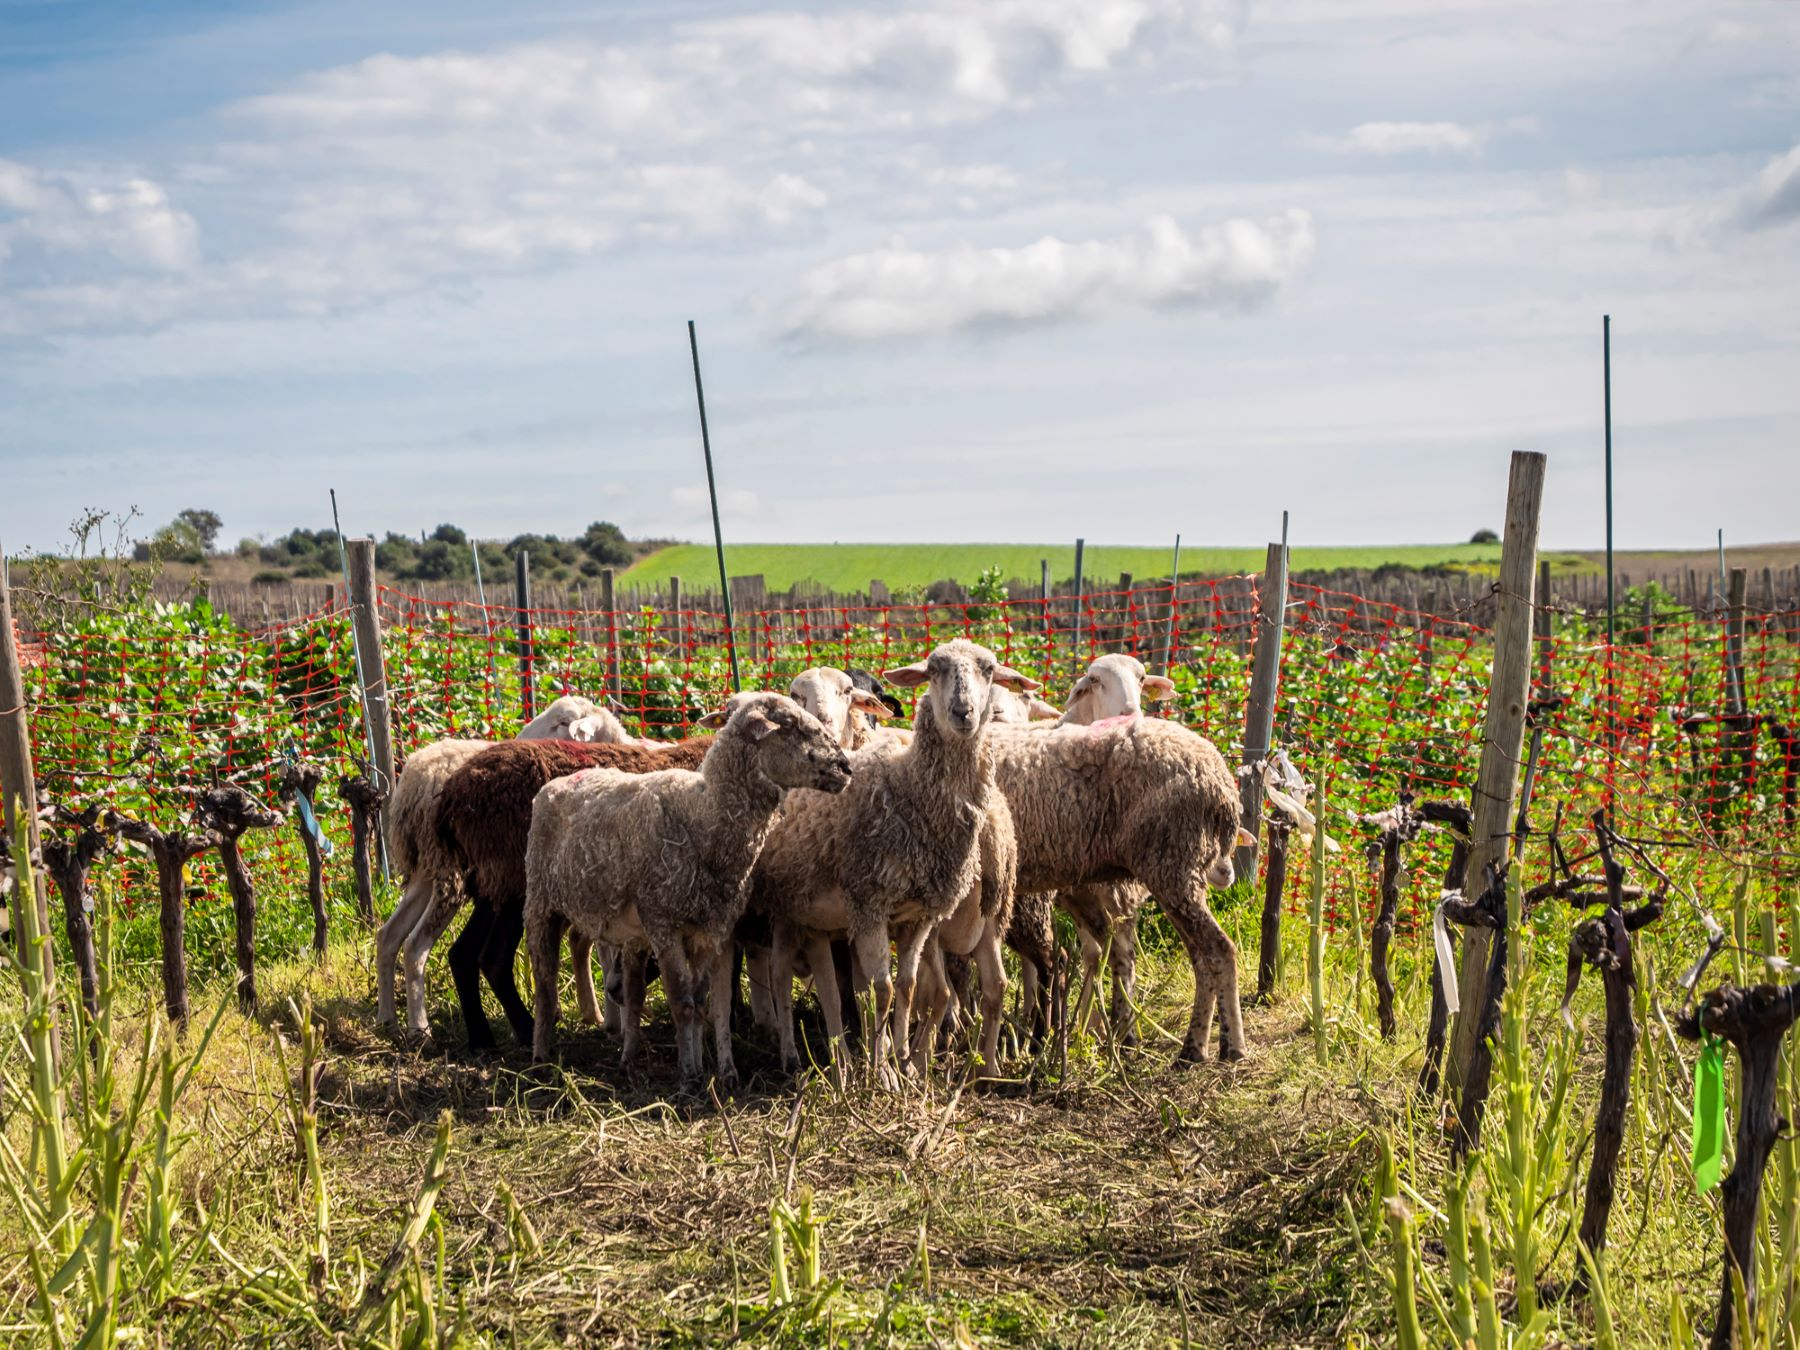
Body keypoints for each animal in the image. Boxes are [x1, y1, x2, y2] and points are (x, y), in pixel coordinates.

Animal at [525, 692, 852, 1088]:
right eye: (789, 725)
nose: (845, 768)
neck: (704, 814)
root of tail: (561, 782)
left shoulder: (708, 929)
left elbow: (698, 1002)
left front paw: (697, 1066)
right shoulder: (664, 924)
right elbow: (681, 1002)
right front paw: (688, 1078)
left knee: (619, 988)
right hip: (541, 903)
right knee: (544, 981)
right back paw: (541, 1056)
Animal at [747, 640, 1035, 1079]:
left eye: (989, 670)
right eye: (933, 670)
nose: (963, 712)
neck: (909, 789)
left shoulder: (919, 916)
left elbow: (908, 986)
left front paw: (904, 1062)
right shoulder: (869, 906)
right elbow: (879, 990)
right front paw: (882, 1070)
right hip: (791, 908)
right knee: (780, 975)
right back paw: (792, 1054)